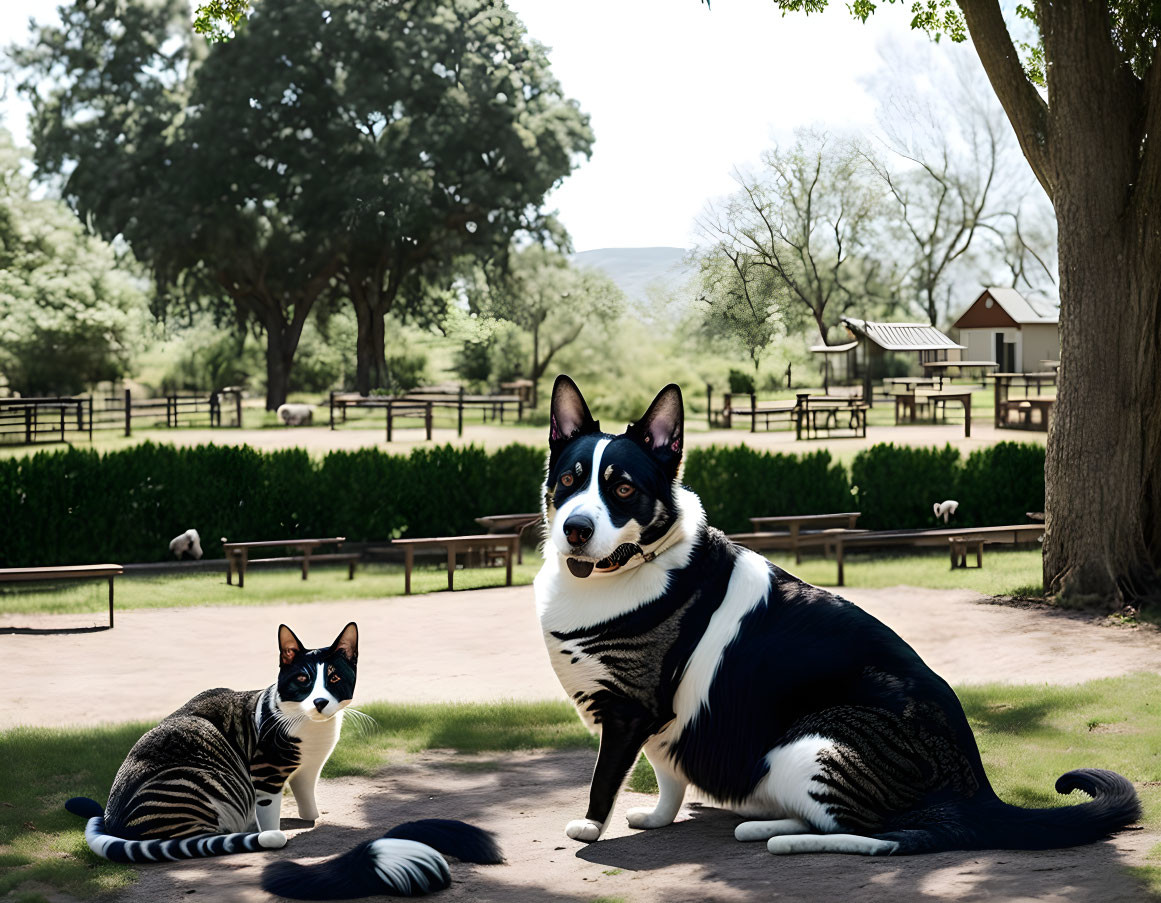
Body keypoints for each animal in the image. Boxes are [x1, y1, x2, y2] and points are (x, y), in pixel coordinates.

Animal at [67, 617, 357, 858]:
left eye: (334, 678)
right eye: (302, 679)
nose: (319, 702)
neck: (313, 730)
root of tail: (112, 820)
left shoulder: (309, 769)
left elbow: (306, 795)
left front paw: (311, 816)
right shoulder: (265, 773)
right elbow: (268, 812)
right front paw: (270, 830)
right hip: (200, 783)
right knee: (200, 839)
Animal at [536, 376, 1142, 854]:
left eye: (622, 488)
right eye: (568, 481)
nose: (576, 529)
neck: (621, 571)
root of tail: (980, 792)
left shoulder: (630, 709)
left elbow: (605, 777)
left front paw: (590, 828)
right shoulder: (661, 719)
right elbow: (667, 775)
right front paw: (660, 817)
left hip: (807, 749)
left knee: (897, 835)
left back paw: (786, 839)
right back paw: (766, 825)